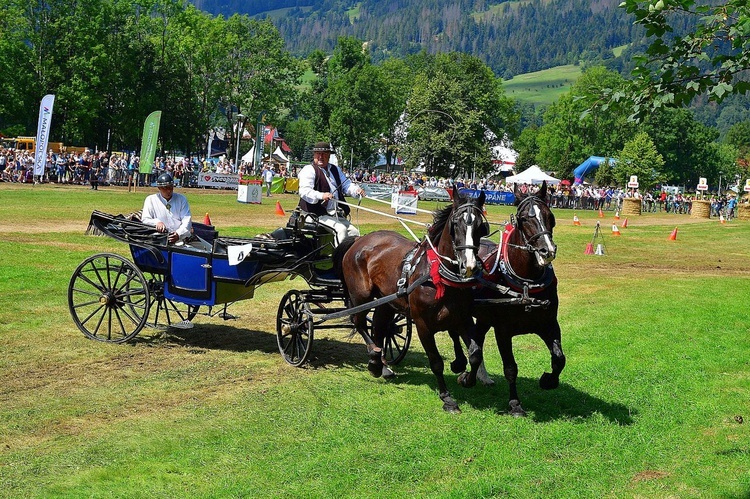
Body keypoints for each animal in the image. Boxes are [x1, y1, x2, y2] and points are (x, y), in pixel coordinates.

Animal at [334, 188, 488, 414]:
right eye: (456, 223)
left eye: (480, 226)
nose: (469, 265)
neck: (439, 276)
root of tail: (359, 240)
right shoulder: (423, 325)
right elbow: (436, 362)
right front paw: (447, 398)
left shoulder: (463, 319)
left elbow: (475, 353)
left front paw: (466, 378)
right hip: (361, 296)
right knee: (359, 323)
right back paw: (374, 359)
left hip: (386, 301)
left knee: (379, 326)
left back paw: (382, 365)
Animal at [452, 184, 564, 418]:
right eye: (523, 219)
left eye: (550, 216)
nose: (546, 251)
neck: (526, 284)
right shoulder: (503, 330)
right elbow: (511, 368)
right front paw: (515, 404)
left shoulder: (549, 324)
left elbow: (559, 359)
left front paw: (548, 380)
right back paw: (462, 369)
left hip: (484, 317)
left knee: (477, 342)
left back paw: (478, 376)